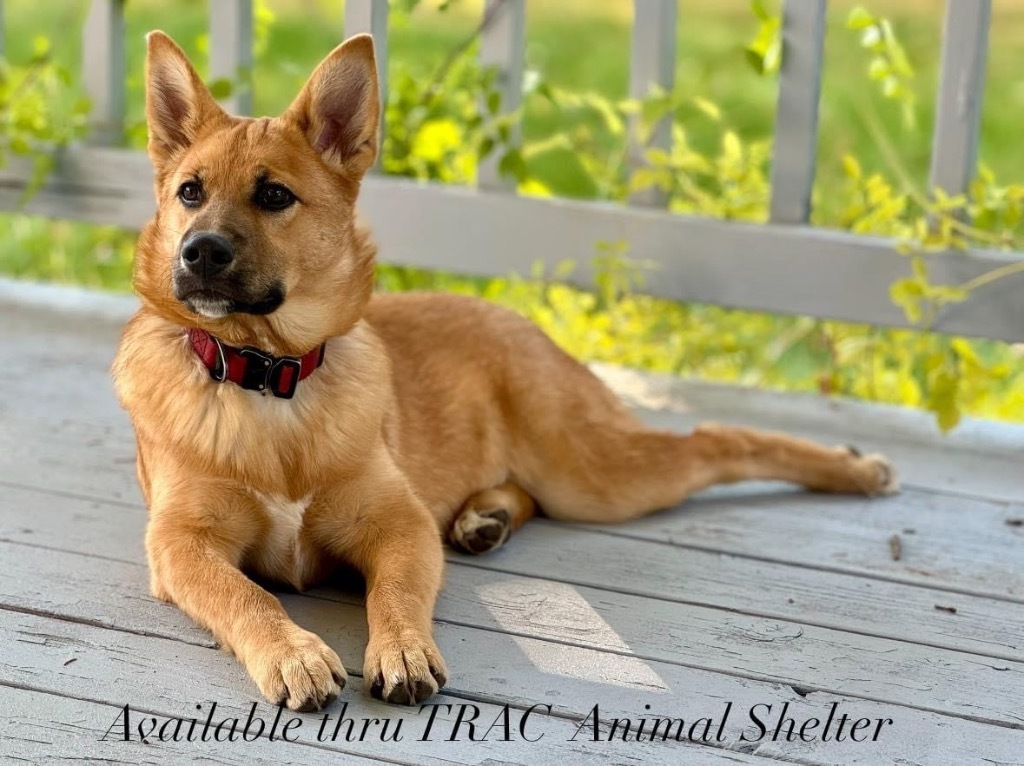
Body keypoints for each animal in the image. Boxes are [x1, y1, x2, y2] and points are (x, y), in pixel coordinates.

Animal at [110, 29, 897, 712]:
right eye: (189, 192)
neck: (268, 374)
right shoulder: (180, 543)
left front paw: (402, 648)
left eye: (274, 196)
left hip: (595, 473)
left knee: (716, 440)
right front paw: (293, 652)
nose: (199, 253)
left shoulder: (399, 526)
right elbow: (247, 595)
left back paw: (851, 469)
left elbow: (395, 593)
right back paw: (485, 515)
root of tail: (521, 321)